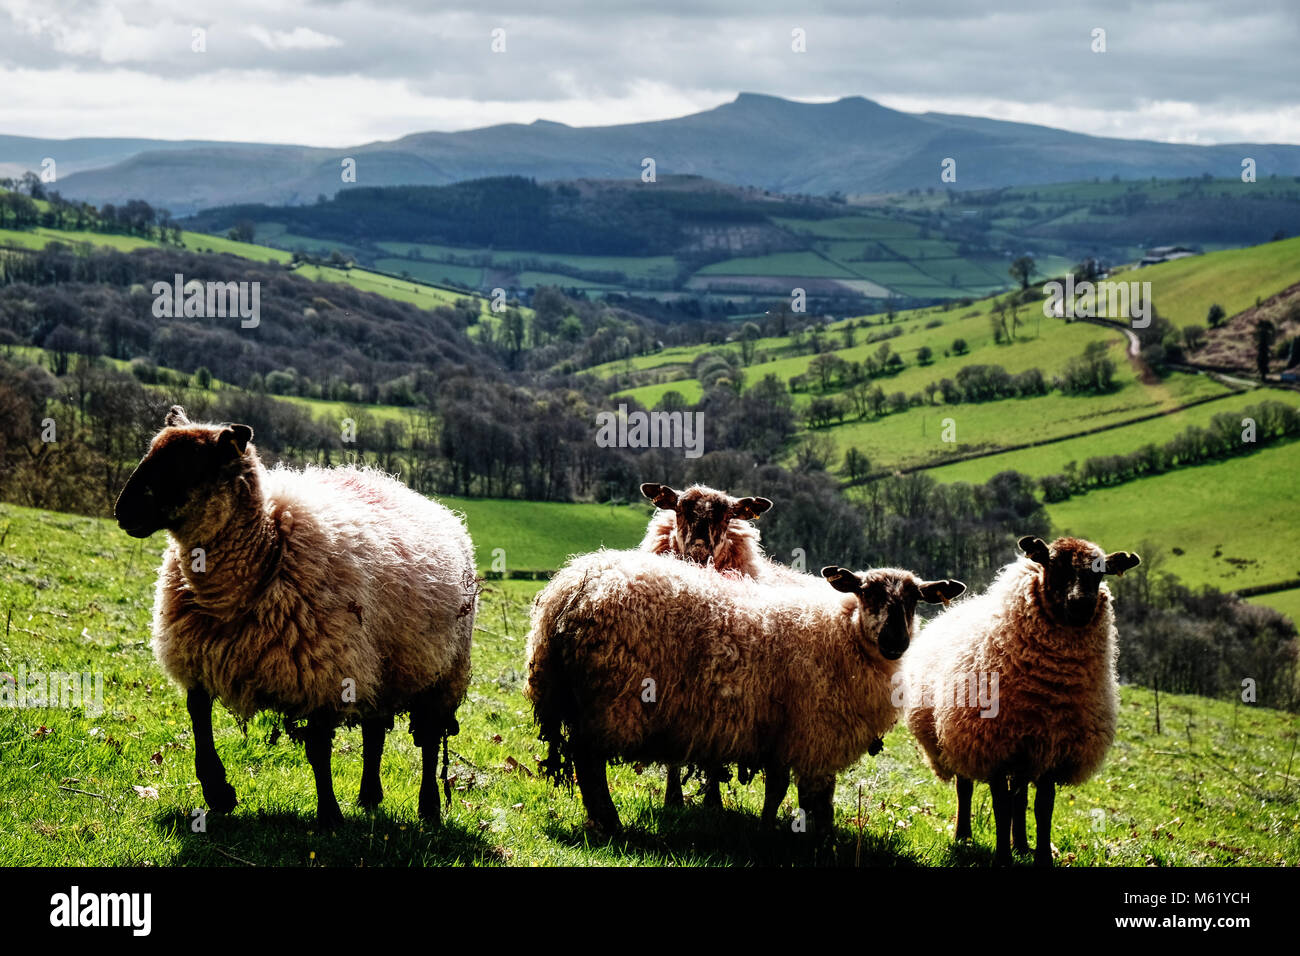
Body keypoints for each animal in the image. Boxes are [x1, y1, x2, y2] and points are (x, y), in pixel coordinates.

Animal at [113, 406, 477, 827]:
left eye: (186, 465)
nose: (122, 512)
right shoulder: (200, 658)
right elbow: (199, 723)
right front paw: (218, 793)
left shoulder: (325, 670)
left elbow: (318, 749)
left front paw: (329, 816)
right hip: (383, 662)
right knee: (374, 732)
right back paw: (369, 796)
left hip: (441, 673)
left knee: (430, 740)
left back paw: (429, 807)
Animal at [525, 548, 965, 834]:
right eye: (867, 593)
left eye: (914, 600)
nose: (896, 641)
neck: (845, 634)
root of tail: (568, 589)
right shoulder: (815, 734)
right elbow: (817, 800)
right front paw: (822, 843)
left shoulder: (780, 732)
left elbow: (777, 789)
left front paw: (768, 828)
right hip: (610, 699)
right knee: (589, 763)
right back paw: (610, 824)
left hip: (575, 694)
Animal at [901, 535, 1139, 866]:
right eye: (1053, 564)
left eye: (1100, 572)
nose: (1082, 604)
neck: (1049, 690)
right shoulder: (992, 746)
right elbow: (1001, 805)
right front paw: (1002, 857)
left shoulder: (1053, 749)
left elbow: (1042, 807)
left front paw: (1041, 857)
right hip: (960, 737)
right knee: (965, 787)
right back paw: (964, 836)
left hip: (1024, 750)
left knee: (1021, 795)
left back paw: (1022, 845)